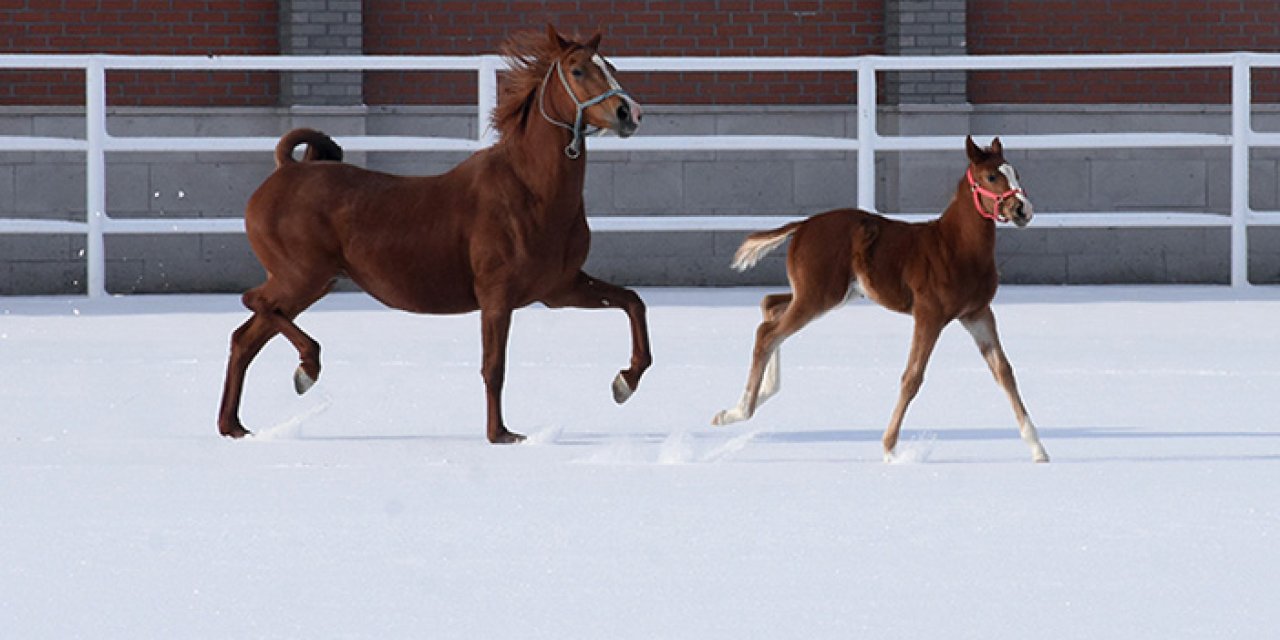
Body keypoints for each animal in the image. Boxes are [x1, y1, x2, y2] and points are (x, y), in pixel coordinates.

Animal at [217, 26, 650, 445]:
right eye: (577, 70)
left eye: (611, 66)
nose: (629, 112)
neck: (530, 191)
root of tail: (286, 170)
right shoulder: (497, 297)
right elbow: (494, 367)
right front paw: (501, 434)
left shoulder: (559, 289)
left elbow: (633, 302)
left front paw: (624, 383)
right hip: (302, 278)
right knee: (254, 302)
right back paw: (306, 368)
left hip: (311, 283)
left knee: (244, 339)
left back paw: (233, 426)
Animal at [711, 137, 1049, 463]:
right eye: (991, 176)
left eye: (1016, 173)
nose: (1023, 210)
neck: (956, 247)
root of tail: (803, 225)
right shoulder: (929, 315)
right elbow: (912, 377)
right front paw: (889, 448)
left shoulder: (977, 313)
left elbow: (1004, 372)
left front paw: (1038, 449)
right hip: (818, 296)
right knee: (768, 334)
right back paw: (736, 412)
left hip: (827, 294)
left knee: (770, 305)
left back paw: (762, 394)